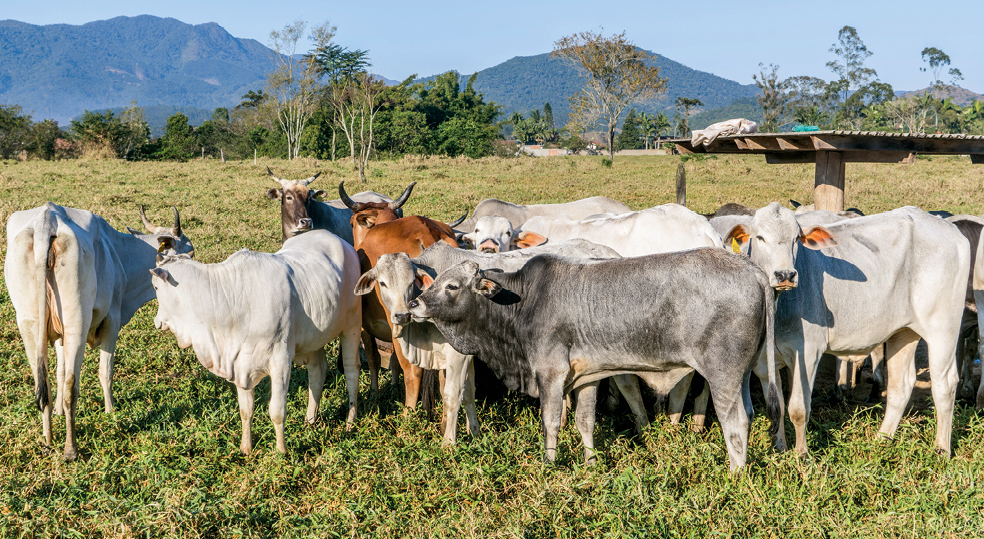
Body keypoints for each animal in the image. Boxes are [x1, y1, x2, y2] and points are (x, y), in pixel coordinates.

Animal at [4, 202, 194, 460]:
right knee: (71, 387)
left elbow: (59, 372)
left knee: (43, 386)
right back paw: (70, 449)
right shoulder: (112, 319)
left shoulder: (59, 335)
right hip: (77, 321)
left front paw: (58, 412)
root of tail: (47, 219)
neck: (118, 253)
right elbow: (106, 371)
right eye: (190, 251)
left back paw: (48, 440)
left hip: (29, 325)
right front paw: (110, 410)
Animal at [152, 230, 368, 454]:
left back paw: (350, 422)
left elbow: (277, 410)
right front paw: (246, 447)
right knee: (317, 372)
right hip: (316, 335)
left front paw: (281, 451)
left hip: (352, 324)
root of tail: (339, 241)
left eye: (156, 287)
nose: (157, 322)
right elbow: (245, 410)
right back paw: (310, 420)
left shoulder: (281, 362)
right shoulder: (239, 361)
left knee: (352, 370)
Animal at [406, 251, 776, 470]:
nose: (414, 304)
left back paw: (734, 474)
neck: (525, 300)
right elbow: (585, 421)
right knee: (749, 414)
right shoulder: (588, 378)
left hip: (723, 375)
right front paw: (591, 463)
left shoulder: (550, 374)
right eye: (435, 281)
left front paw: (549, 465)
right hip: (742, 376)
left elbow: (551, 422)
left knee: (735, 423)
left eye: (452, 286)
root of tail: (755, 271)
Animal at [724, 205, 968, 458]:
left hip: (943, 328)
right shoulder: (764, 363)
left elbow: (799, 409)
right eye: (760, 237)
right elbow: (777, 406)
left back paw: (942, 449)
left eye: (796, 239)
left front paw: (802, 454)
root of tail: (948, 228)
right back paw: (882, 439)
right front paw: (780, 447)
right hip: (903, 332)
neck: (778, 307)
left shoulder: (808, 353)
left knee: (945, 384)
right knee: (901, 385)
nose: (785, 275)